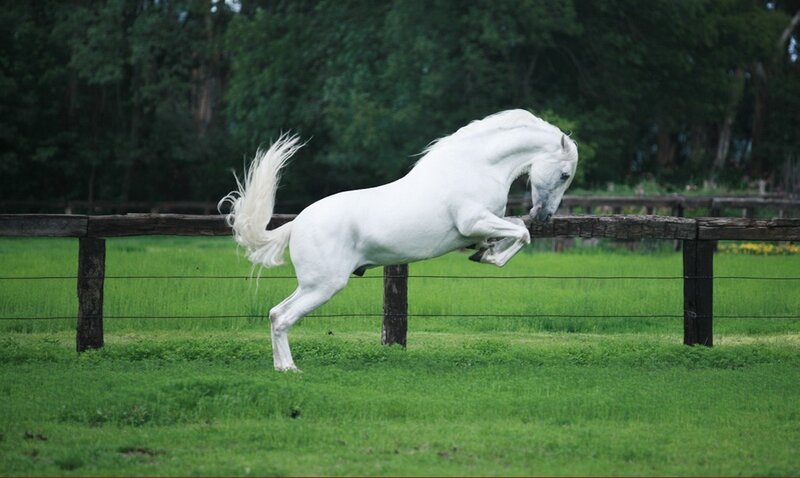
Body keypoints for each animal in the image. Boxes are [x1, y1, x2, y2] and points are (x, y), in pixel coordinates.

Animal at [220, 109, 579, 371]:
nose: (544, 215)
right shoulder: (473, 220)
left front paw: (485, 252)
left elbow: (514, 228)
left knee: (274, 314)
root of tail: (295, 225)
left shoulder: (486, 223)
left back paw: (281, 367)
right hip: (324, 285)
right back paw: (291, 369)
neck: (476, 166)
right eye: (564, 174)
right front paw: (490, 256)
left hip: (311, 284)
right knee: (282, 317)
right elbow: (522, 233)